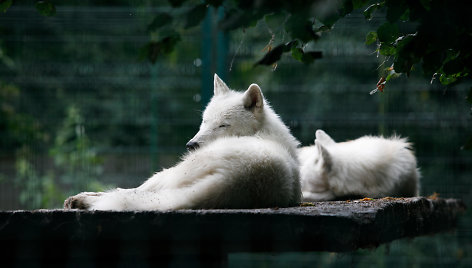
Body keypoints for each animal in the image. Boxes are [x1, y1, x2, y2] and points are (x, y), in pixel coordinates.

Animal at [63, 74, 302, 210]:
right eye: (204, 121)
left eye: (223, 125)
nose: (191, 145)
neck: (263, 131)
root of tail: (236, 178)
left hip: (170, 172)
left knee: (132, 192)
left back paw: (82, 200)